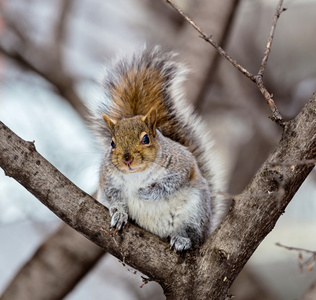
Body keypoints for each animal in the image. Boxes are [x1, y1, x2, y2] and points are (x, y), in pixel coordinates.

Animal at [91, 45, 227, 251]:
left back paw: (182, 240)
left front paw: (145, 193)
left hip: (196, 213)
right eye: (112, 143)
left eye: (146, 139)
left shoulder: (181, 166)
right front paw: (120, 213)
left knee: (193, 235)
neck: (136, 174)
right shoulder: (108, 180)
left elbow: (169, 184)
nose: (127, 159)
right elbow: (114, 197)